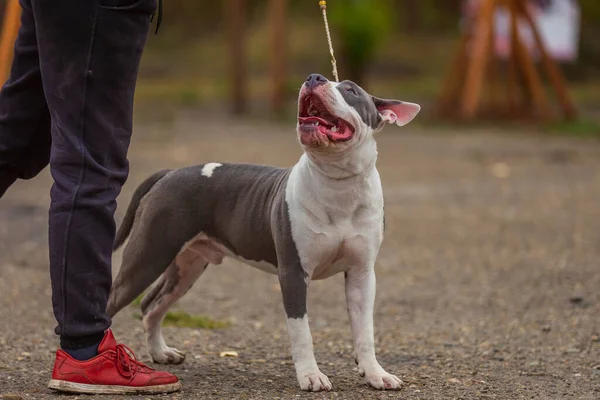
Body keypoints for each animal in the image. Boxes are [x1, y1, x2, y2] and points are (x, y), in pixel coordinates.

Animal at [105, 73, 420, 392]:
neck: (337, 182)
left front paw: (375, 374)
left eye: (350, 90)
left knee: (151, 304)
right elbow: (301, 331)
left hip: (187, 266)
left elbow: (365, 331)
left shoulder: (361, 274)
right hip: (148, 255)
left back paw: (161, 353)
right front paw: (311, 376)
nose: (314, 77)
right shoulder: (293, 273)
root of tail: (169, 173)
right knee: (114, 301)